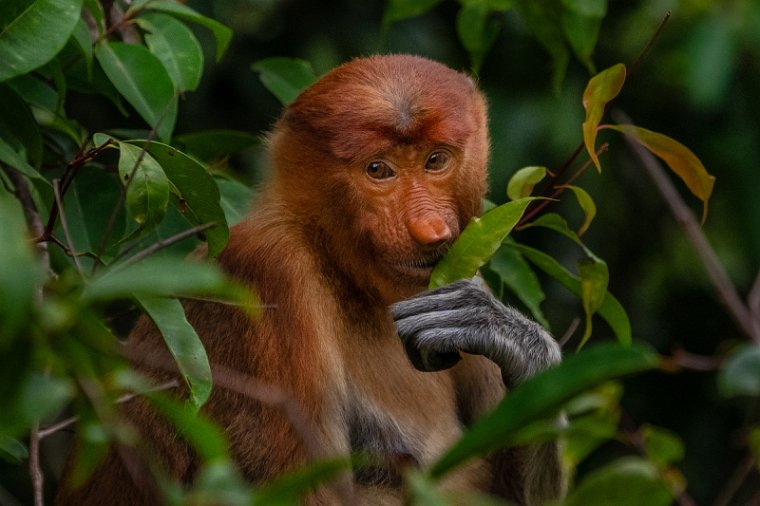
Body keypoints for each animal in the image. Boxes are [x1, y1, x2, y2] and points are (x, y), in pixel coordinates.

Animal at [58, 55, 564, 506]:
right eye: (378, 170)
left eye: (436, 160)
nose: (431, 231)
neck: (342, 271)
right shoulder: (269, 275)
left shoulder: (459, 267)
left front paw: (505, 335)